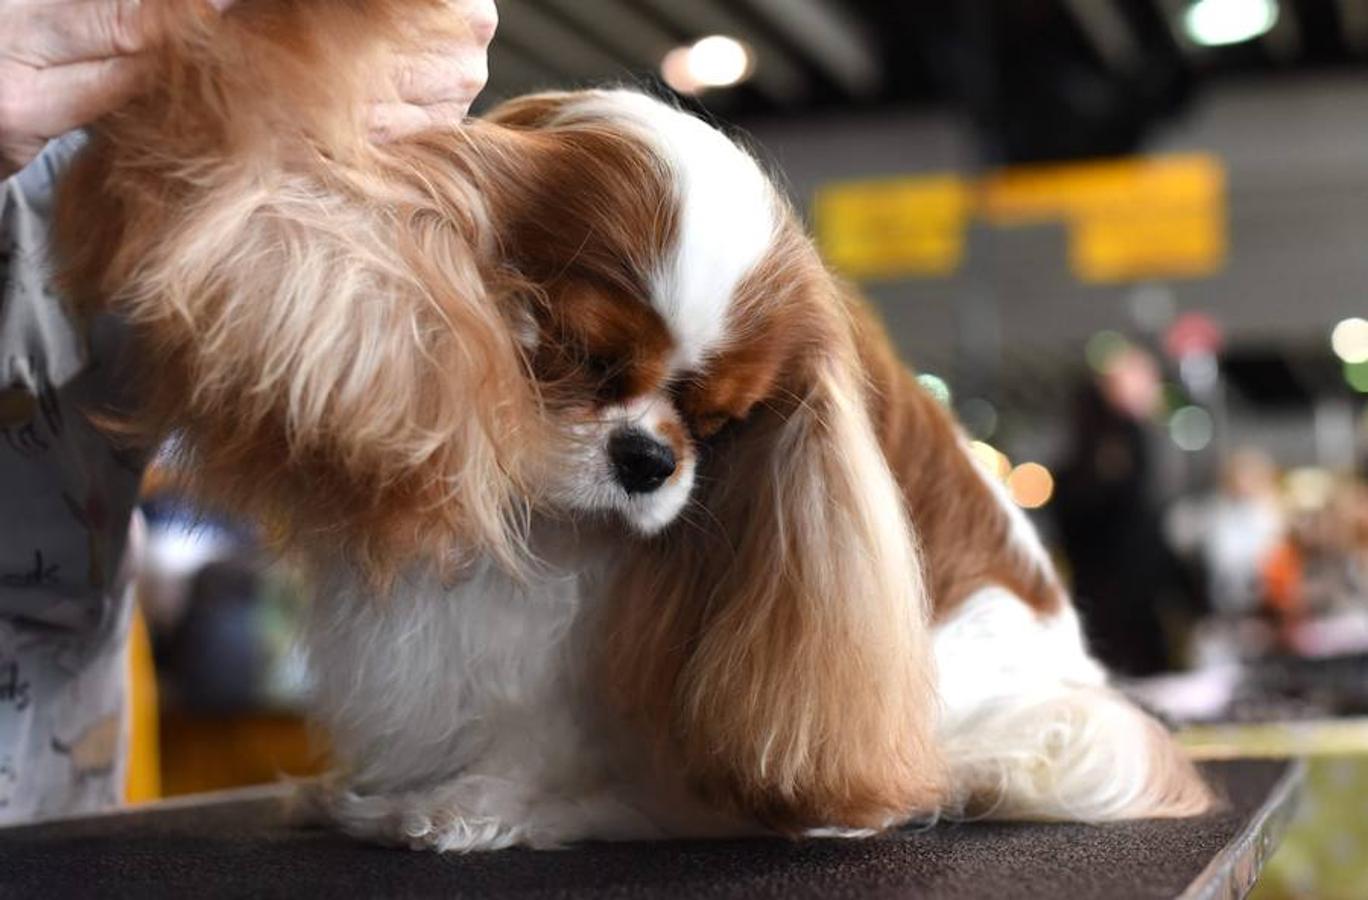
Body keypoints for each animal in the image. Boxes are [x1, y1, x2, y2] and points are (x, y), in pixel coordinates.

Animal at [53, 0, 1214, 848]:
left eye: (720, 420)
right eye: (583, 359)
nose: (648, 460)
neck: (551, 524)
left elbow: (555, 744)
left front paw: (471, 806)